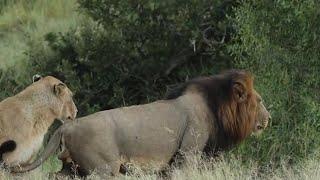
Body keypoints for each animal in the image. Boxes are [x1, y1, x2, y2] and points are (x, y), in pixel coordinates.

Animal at [12, 69, 272, 176]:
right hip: (103, 170)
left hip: (72, 169)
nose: (269, 118)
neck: (215, 108)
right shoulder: (187, 155)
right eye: (259, 101)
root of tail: (66, 126)